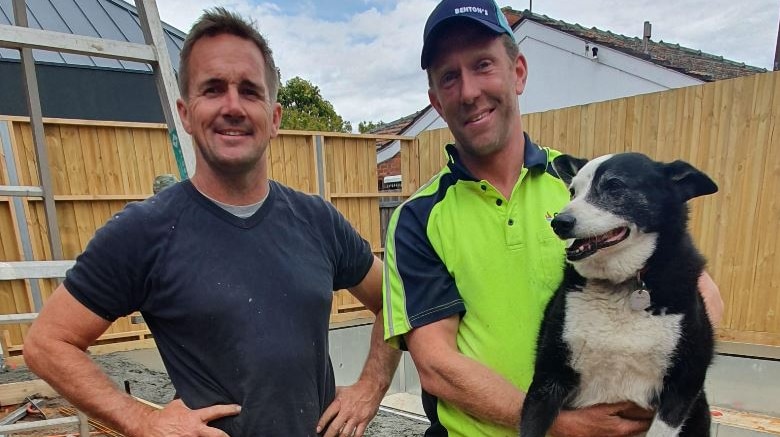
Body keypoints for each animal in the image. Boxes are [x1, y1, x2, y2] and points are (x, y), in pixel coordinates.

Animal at [520, 152, 716, 434]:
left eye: (614, 186)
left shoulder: (685, 381)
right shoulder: (549, 375)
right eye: (573, 192)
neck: (621, 284)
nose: (560, 222)